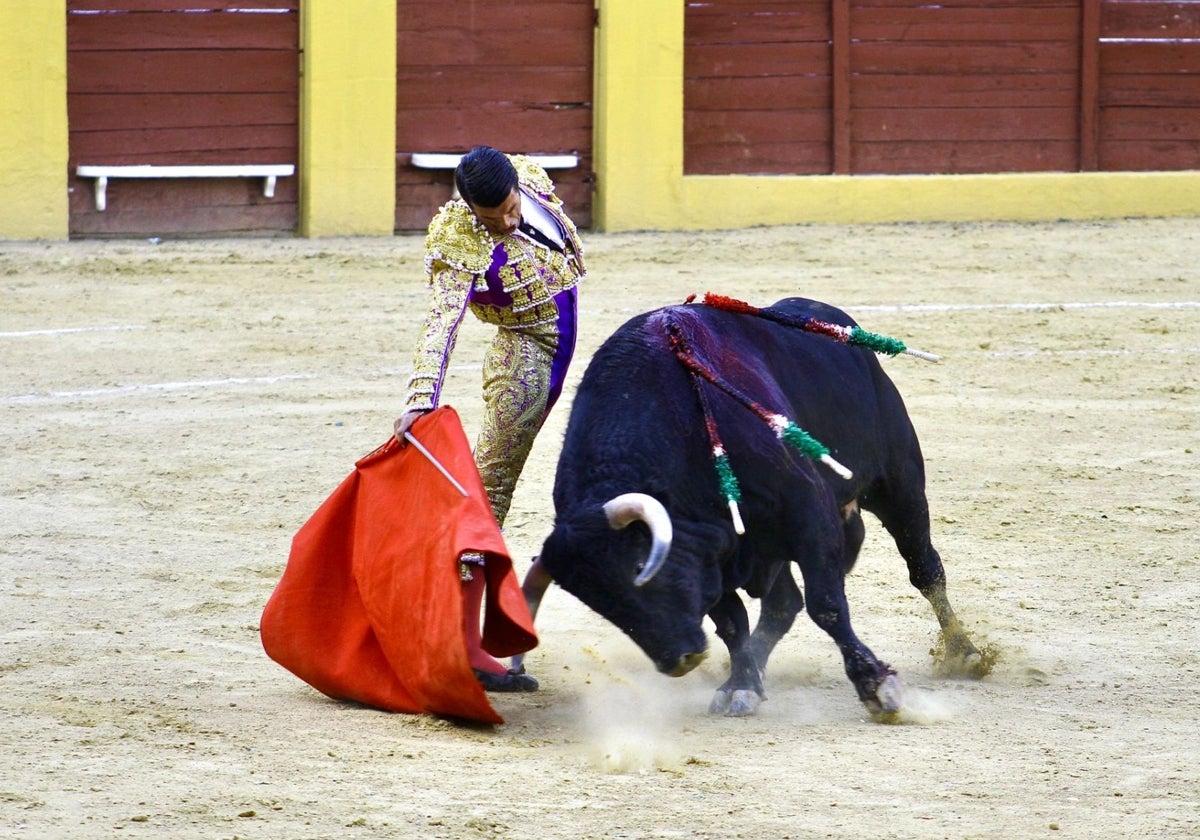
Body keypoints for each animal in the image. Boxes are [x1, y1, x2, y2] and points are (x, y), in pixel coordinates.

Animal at [520, 298, 988, 720]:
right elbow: (732, 621)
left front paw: (876, 686)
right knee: (782, 605)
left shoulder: (808, 513)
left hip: (899, 484)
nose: (679, 659)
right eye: (600, 603)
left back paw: (964, 654)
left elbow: (827, 605)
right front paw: (740, 685)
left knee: (924, 568)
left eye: (639, 567)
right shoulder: (713, 554)